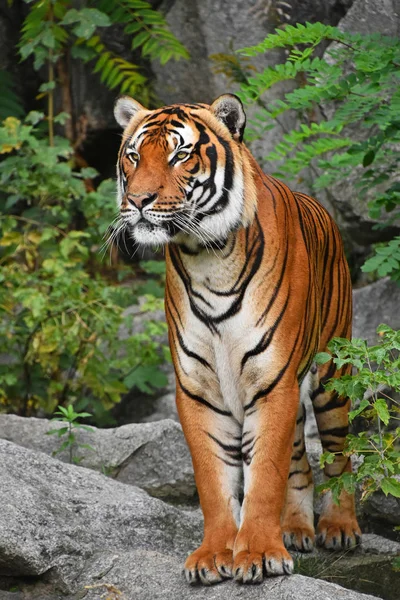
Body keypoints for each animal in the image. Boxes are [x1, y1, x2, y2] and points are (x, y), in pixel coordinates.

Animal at [113, 95, 362, 584]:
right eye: (133, 156)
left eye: (180, 154)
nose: (137, 200)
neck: (206, 257)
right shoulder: (198, 389)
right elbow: (215, 481)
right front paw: (214, 556)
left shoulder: (273, 381)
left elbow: (263, 475)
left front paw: (259, 554)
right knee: (300, 459)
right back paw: (296, 529)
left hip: (331, 378)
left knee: (338, 454)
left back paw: (339, 528)